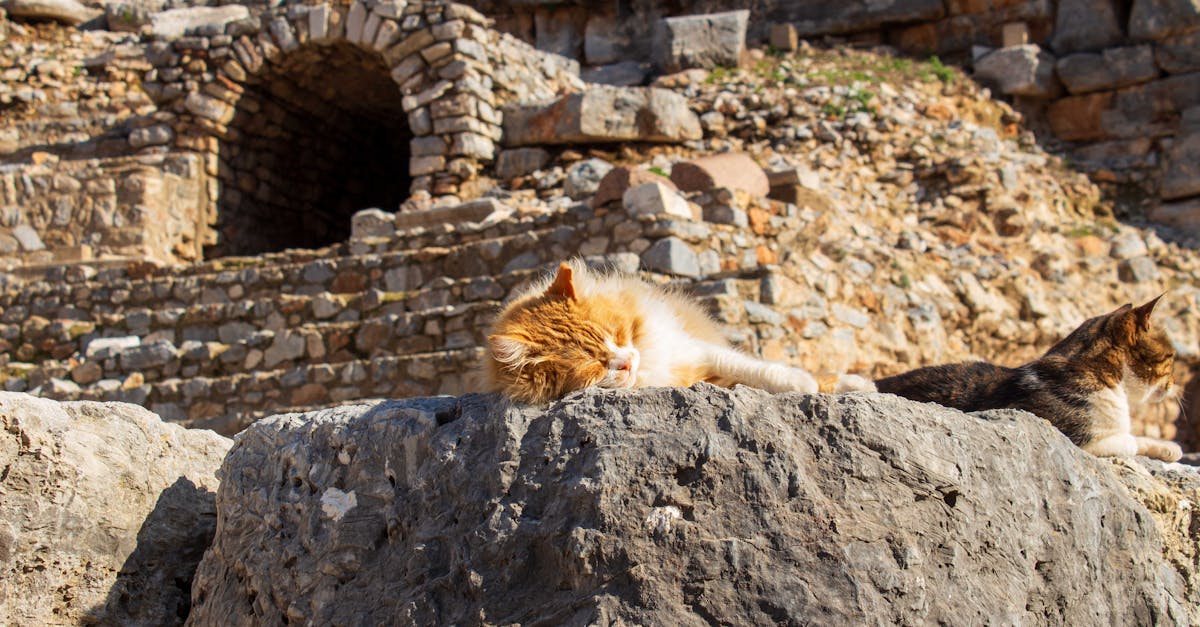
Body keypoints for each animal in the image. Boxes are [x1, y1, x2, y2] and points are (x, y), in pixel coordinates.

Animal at [480, 259, 873, 403]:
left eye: (617, 334)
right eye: (593, 366)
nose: (627, 362)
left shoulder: (696, 350)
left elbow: (761, 371)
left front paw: (802, 383)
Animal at [873, 295, 1180, 461]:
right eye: (1171, 357)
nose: (1175, 385)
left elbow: (1138, 437)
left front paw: (1169, 449)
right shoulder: (1076, 437)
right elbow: (1128, 441)